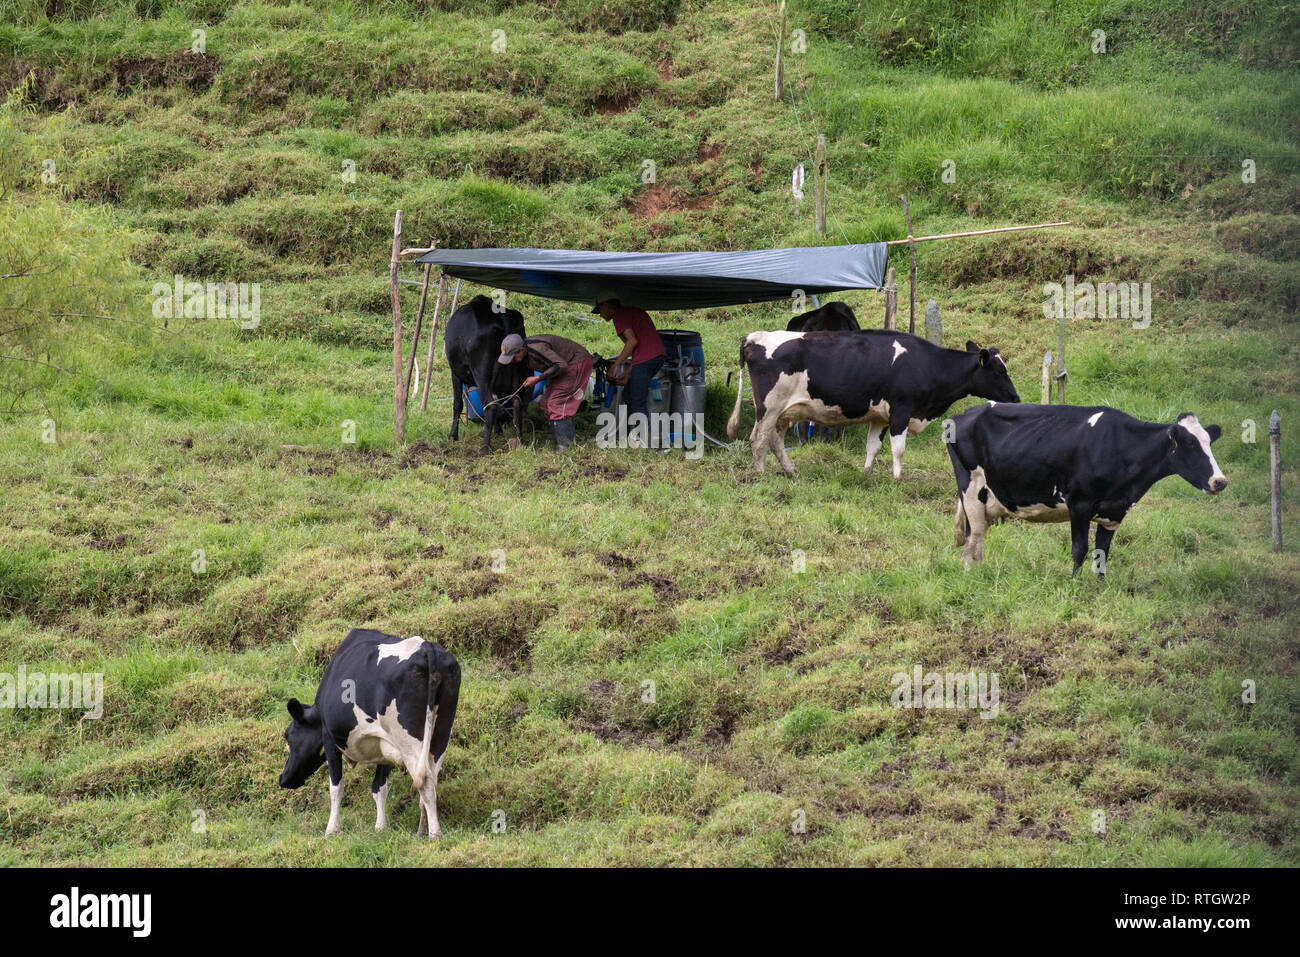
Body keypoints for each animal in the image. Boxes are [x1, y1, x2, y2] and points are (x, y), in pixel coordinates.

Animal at [276, 631, 460, 842]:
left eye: (288, 736)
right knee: (430, 780)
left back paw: (435, 834)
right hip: (440, 735)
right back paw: (421, 832)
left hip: (408, 740)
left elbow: (336, 787)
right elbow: (379, 787)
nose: (283, 778)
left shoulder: (329, 739)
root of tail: (427, 647)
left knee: (426, 781)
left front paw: (332, 830)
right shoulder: (385, 744)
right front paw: (380, 827)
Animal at [447, 293, 527, 455]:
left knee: (490, 407)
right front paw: (498, 431)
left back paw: (484, 448)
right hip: (517, 369)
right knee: (515, 402)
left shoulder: (455, 373)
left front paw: (453, 436)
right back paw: (520, 442)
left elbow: (457, 404)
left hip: (481, 373)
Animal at [728, 332, 1019, 478]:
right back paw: (760, 474)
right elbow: (898, 449)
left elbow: (873, 447)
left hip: (783, 412)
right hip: (769, 406)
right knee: (758, 439)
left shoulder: (880, 416)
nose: (1016, 399)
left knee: (775, 440)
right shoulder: (902, 410)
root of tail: (755, 337)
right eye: (999, 372)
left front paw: (867, 473)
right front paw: (898, 478)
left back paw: (790, 471)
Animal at [951, 403, 1222, 574]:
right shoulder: (1079, 504)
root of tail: (966, 413)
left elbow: (1103, 552)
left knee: (976, 537)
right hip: (971, 490)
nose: (1220, 481)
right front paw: (1073, 585)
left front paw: (1101, 586)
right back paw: (971, 575)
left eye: (1210, 442)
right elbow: (1079, 550)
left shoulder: (1115, 510)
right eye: (1190, 444)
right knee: (974, 537)